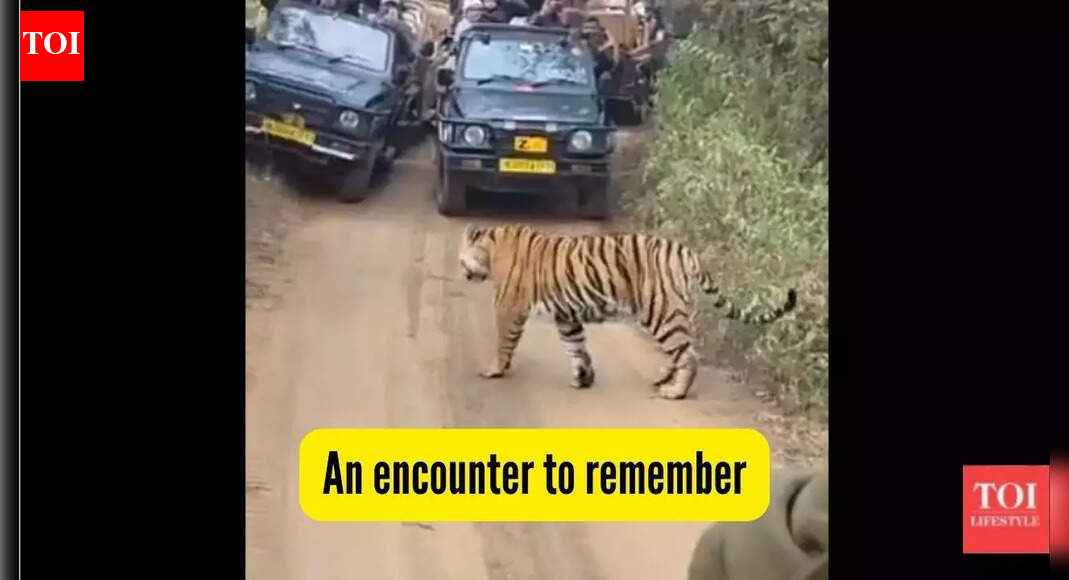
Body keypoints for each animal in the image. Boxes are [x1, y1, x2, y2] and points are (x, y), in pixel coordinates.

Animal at [458, 224, 798, 400]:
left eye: (461, 260)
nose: (462, 273)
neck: (491, 247)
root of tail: (687, 252)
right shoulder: (567, 316)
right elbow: (576, 346)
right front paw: (583, 378)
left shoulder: (508, 307)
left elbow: (504, 343)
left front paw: (494, 370)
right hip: (672, 311)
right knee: (682, 351)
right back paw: (663, 379)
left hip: (661, 311)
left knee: (687, 354)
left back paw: (674, 391)